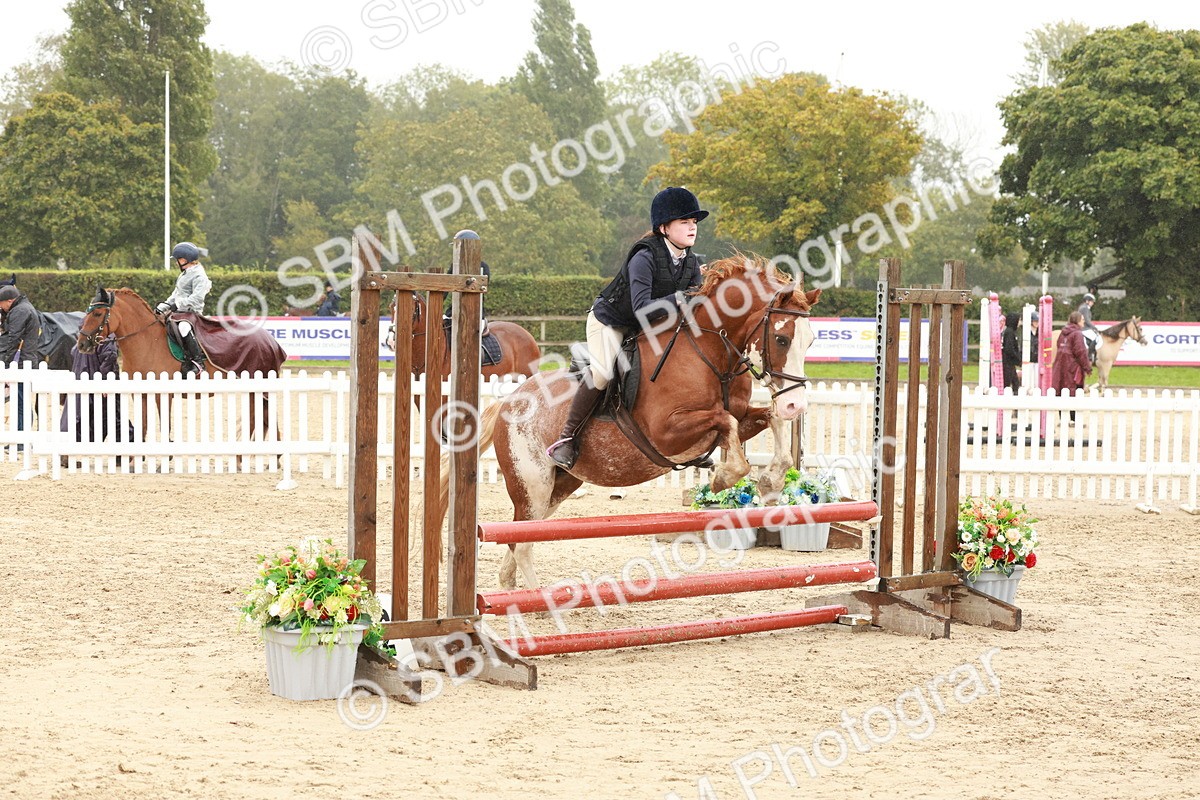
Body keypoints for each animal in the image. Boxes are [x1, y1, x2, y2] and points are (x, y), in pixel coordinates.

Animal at [436, 254, 821, 589]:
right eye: (781, 338)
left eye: (810, 341)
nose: (796, 404)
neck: (710, 353)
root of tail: (507, 401)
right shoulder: (667, 433)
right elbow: (725, 422)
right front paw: (723, 478)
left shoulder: (739, 416)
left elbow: (765, 418)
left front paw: (771, 480)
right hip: (532, 483)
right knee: (524, 542)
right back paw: (538, 599)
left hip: (561, 485)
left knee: (520, 537)